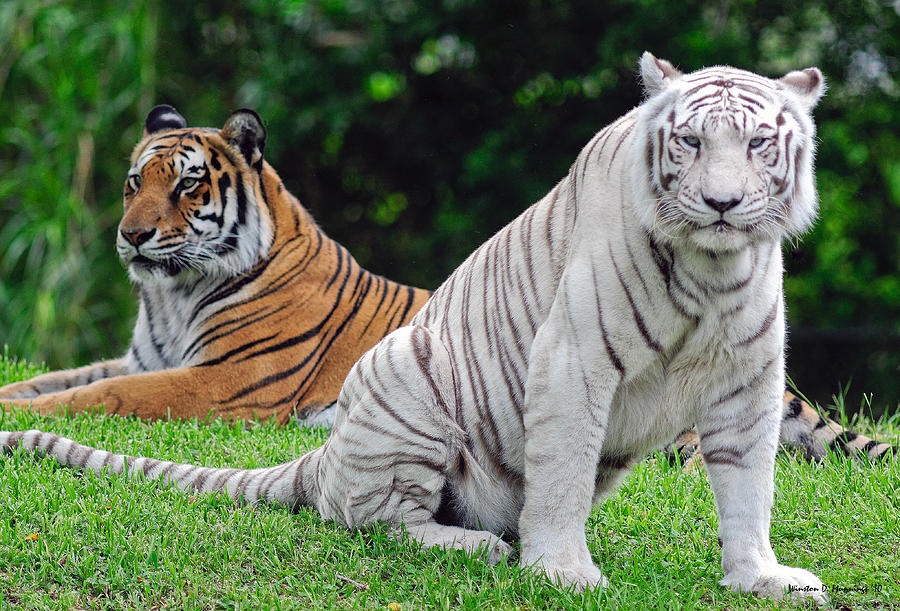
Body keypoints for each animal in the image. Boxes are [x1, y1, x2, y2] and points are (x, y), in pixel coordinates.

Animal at [0, 106, 428, 426]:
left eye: (187, 184)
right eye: (136, 182)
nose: (133, 234)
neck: (174, 295)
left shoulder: (222, 378)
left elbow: (101, 394)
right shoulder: (142, 362)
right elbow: (50, 379)